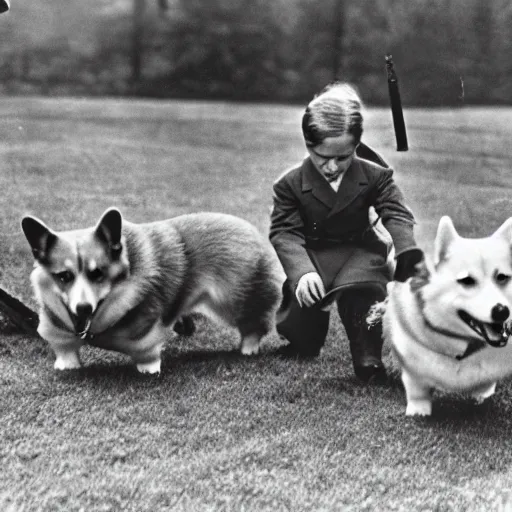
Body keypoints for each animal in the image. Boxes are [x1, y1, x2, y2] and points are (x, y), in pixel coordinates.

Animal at [21, 207, 284, 372]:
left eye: (98, 273)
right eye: (64, 276)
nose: (83, 308)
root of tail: (249, 228)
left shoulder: (146, 332)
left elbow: (148, 352)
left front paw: (148, 369)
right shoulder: (58, 329)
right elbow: (65, 349)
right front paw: (67, 365)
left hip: (234, 300)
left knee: (255, 322)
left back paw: (248, 349)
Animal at [370, 216, 512, 416]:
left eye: (502, 277)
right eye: (467, 281)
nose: (502, 311)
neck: (463, 348)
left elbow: (486, 383)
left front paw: (481, 394)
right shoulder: (412, 366)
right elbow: (417, 388)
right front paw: (419, 410)